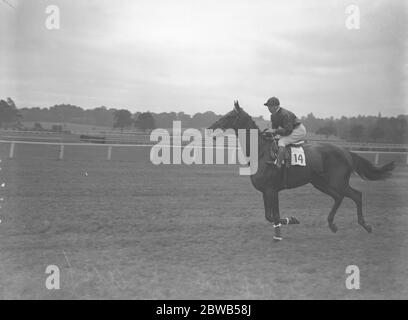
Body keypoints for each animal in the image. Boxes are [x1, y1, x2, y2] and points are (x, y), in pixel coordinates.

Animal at [209, 101, 394, 241]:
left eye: (230, 116)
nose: (211, 128)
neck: (260, 152)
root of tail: (346, 152)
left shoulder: (272, 190)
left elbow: (274, 215)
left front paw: (281, 232)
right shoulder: (266, 191)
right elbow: (269, 216)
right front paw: (290, 221)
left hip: (337, 181)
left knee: (356, 195)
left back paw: (365, 225)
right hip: (320, 183)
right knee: (339, 197)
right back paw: (333, 224)